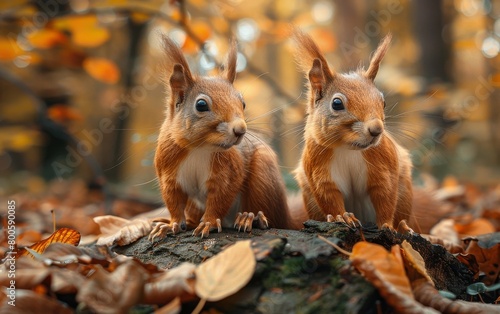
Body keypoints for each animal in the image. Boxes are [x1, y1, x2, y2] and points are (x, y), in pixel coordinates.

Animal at [148, 35, 300, 239]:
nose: (240, 129)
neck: (200, 148)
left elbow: (220, 199)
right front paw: (172, 224)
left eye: (243, 103)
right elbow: (173, 201)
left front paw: (209, 222)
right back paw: (188, 222)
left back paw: (252, 218)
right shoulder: (168, 173)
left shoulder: (228, 171)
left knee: (272, 218)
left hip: (263, 178)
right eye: (201, 105)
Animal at [292, 28, 412, 228]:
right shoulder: (318, 171)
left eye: (383, 102)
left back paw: (403, 227)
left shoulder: (384, 165)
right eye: (337, 103)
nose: (376, 129)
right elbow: (329, 198)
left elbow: (385, 196)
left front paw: (387, 225)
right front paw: (343, 217)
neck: (348, 149)